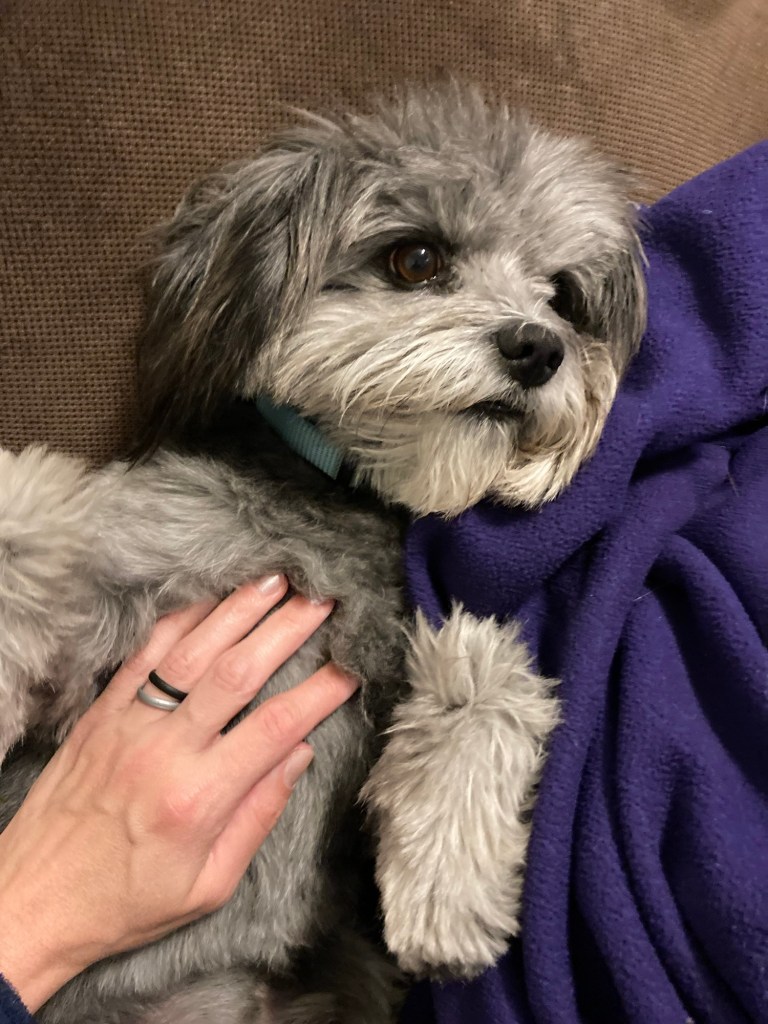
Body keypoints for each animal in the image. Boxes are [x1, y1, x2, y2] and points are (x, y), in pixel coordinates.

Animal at [0, 84, 646, 1024]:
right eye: (416, 260)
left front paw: (449, 891)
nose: (539, 347)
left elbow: (486, 672)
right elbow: (30, 524)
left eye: (562, 294)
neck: (338, 496)